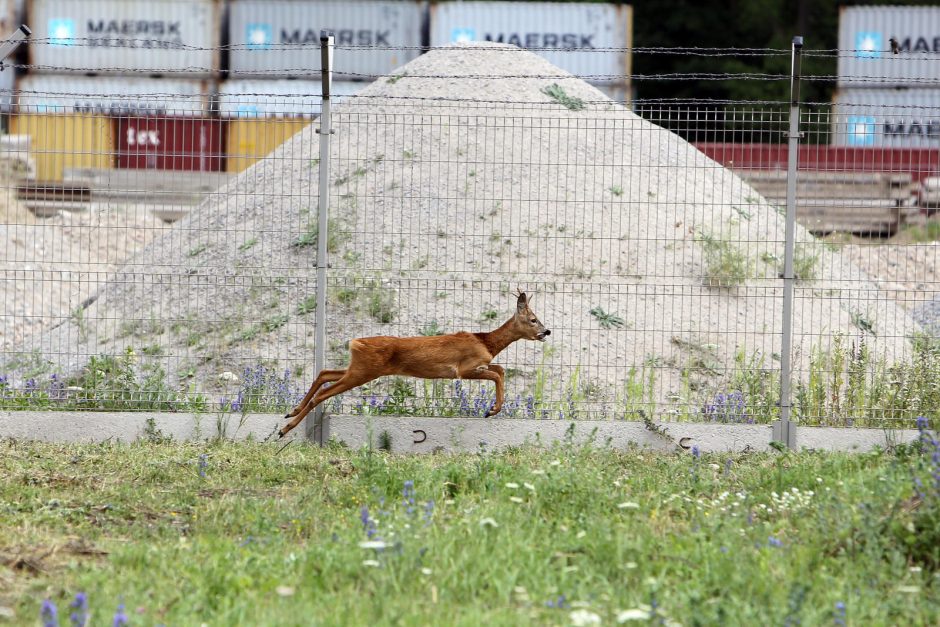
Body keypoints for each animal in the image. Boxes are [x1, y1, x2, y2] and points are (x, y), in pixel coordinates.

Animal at [276, 292, 548, 440]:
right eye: (533, 319)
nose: (547, 331)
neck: (486, 342)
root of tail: (355, 342)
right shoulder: (463, 369)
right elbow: (498, 374)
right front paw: (492, 410)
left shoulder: (477, 365)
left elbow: (500, 370)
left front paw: (493, 408)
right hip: (364, 371)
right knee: (324, 392)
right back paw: (285, 429)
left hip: (358, 368)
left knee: (324, 373)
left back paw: (291, 411)